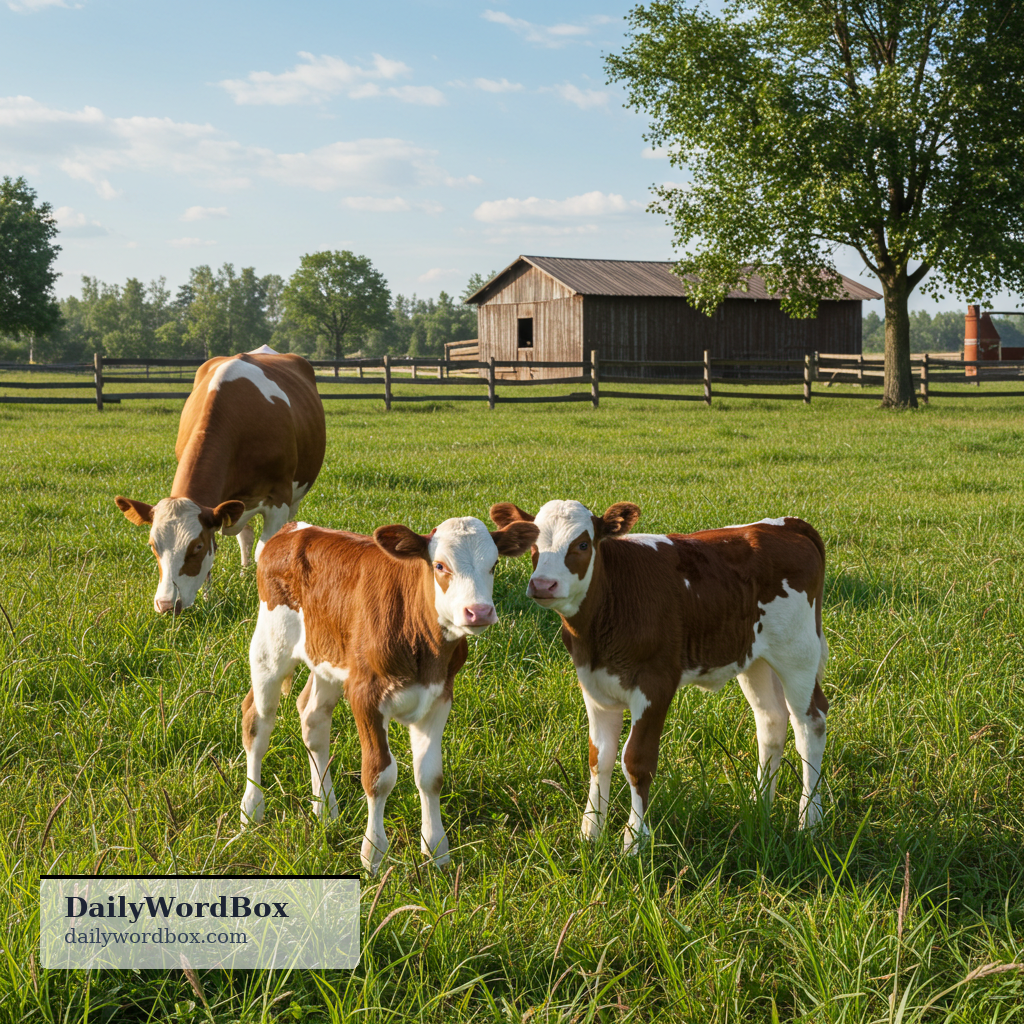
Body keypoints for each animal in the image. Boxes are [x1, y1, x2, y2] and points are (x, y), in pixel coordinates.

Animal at [115, 349, 326, 614]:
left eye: (197, 547)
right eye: (153, 545)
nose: (166, 605)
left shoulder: (279, 498)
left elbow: (266, 550)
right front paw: (208, 600)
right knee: (245, 537)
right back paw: (245, 574)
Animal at [240, 514, 539, 873]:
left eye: (493, 564)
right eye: (440, 565)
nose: (479, 612)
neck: (422, 642)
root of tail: (296, 528)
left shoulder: (439, 696)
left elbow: (430, 775)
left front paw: (436, 850)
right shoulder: (365, 694)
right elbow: (378, 775)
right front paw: (373, 854)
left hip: (328, 657)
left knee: (313, 720)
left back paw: (325, 809)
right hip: (270, 648)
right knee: (257, 721)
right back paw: (251, 810)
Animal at [489, 499, 829, 852]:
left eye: (582, 544)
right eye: (533, 544)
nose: (543, 584)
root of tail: (784, 524)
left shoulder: (656, 685)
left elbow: (637, 761)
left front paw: (634, 840)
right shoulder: (594, 687)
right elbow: (599, 758)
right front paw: (590, 832)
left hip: (798, 652)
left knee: (810, 724)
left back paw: (810, 821)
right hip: (755, 659)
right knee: (771, 720)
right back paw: (759, 804)